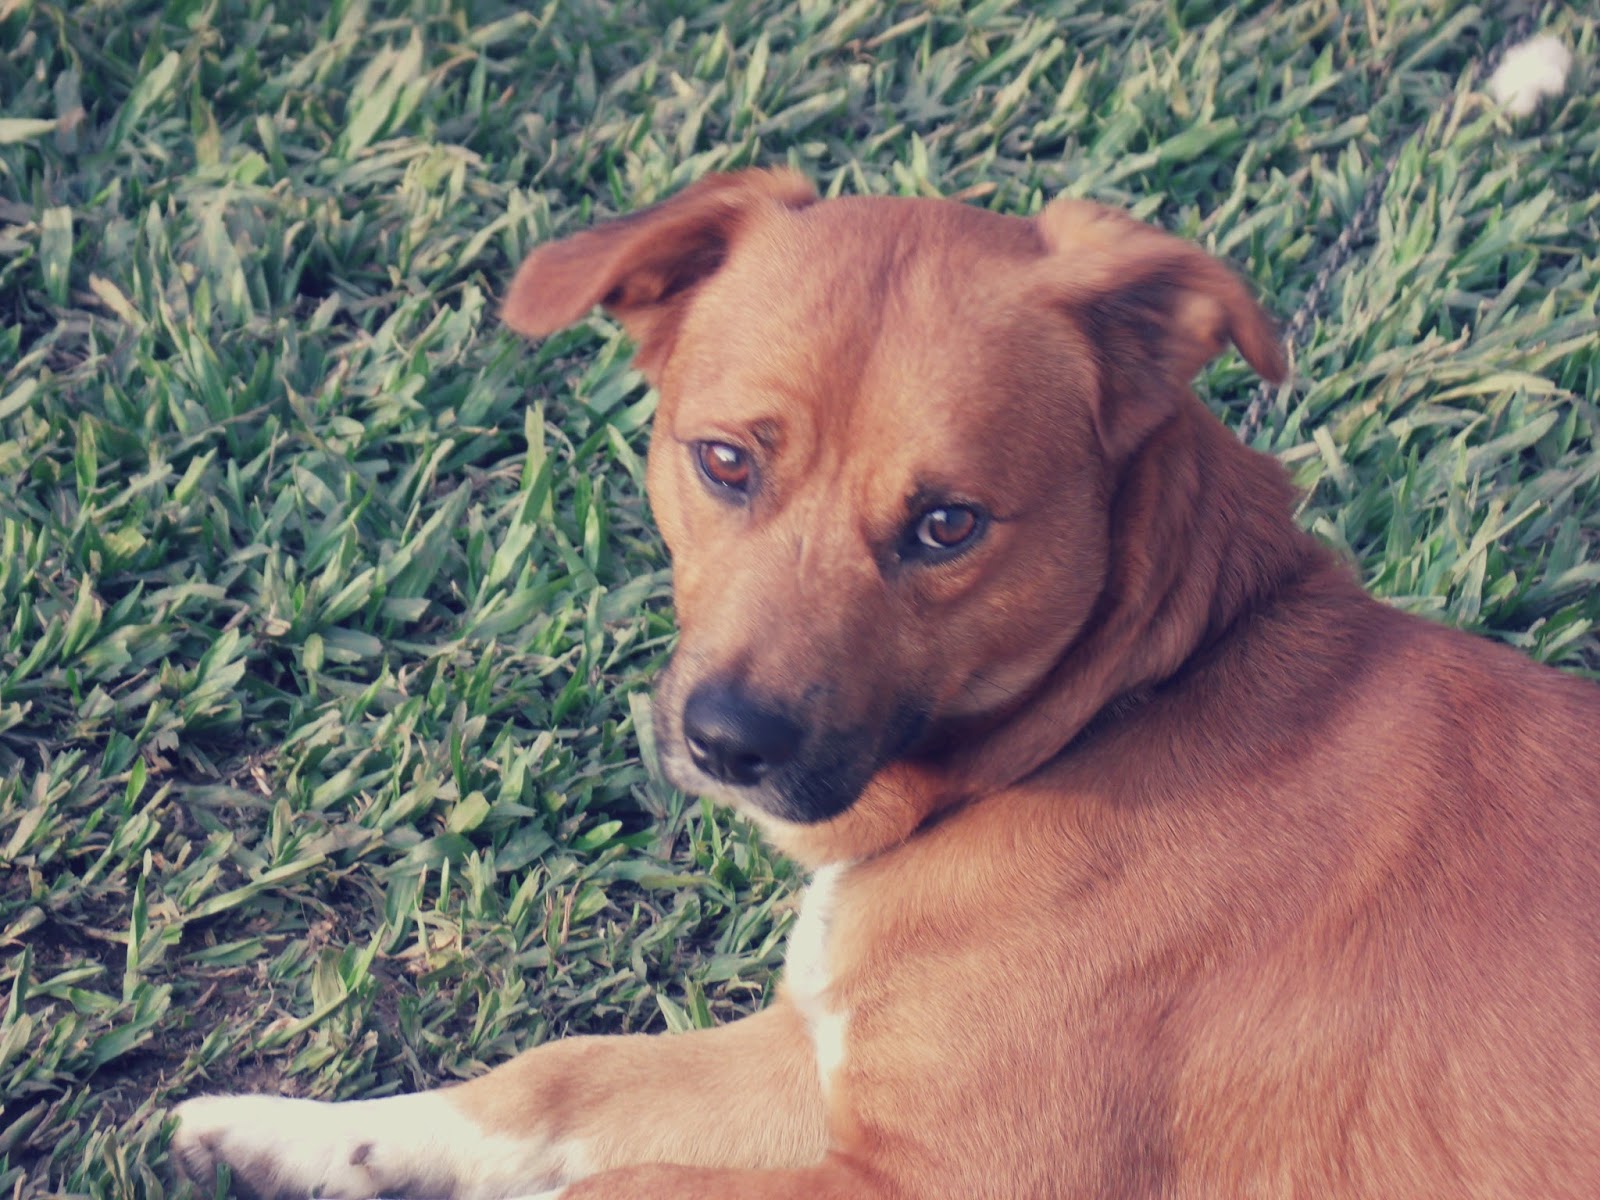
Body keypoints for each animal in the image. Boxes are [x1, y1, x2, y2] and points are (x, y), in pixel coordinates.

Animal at [171, 169, 1600, 1199]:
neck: (1126, 707)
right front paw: (294, 1136)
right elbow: (554, 1081)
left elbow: (610, 1183)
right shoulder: (818, 1061)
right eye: (725, 461)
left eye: (947, 526)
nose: (725, 743)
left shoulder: (939, 1178)